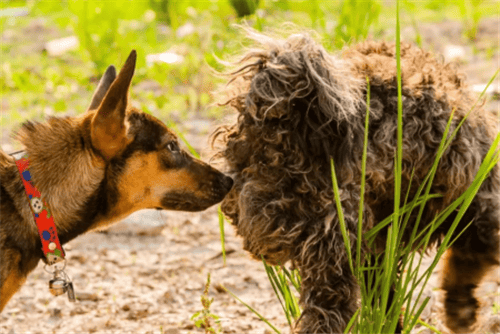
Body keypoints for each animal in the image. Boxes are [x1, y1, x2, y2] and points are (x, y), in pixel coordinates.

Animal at [212, 33, 500, 334]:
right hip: (334, 241)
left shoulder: (379, 249)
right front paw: (461, 313)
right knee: (330, 312)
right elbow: (464, 266)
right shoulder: (478, 213)